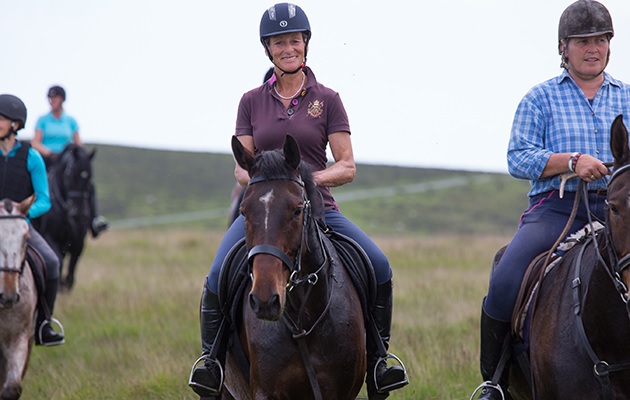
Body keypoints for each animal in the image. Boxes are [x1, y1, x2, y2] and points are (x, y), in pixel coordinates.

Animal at [32, 144, 95, 290]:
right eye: (70, 175)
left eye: (89, 177)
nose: (78, 212)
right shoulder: (51, 238)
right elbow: (59, 260)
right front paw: (60, 284)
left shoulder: (79, 240)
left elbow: (73, 264)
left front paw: (67, 284)